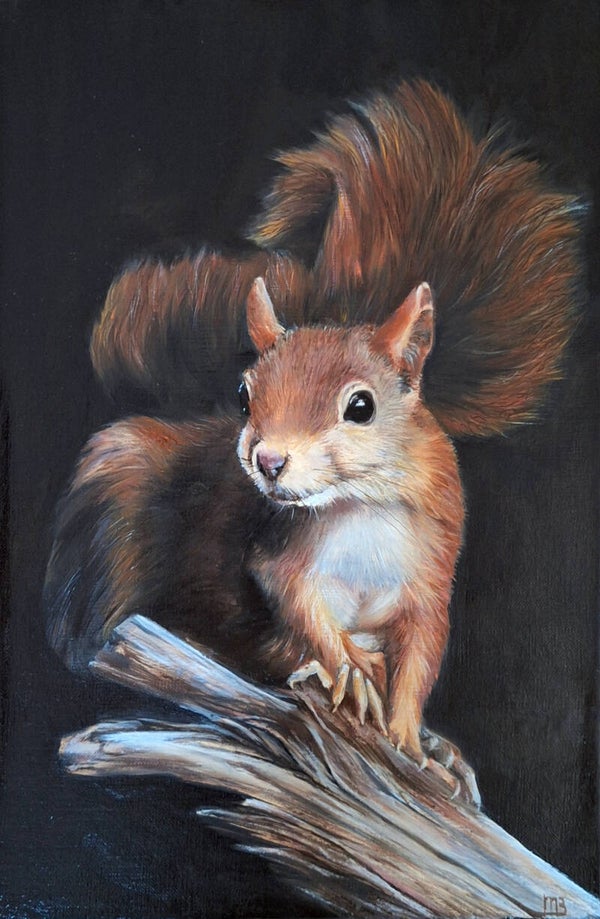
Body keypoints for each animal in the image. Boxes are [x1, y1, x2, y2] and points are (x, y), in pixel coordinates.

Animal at [44, 81, 581, 763]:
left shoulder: (430, 576)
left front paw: (409, 736)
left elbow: (422, 658)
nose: (268, 461)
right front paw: (348, 666)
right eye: (245, 395)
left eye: (361, 407)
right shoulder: (281, 557)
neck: (358, 506)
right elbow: (300, 606)